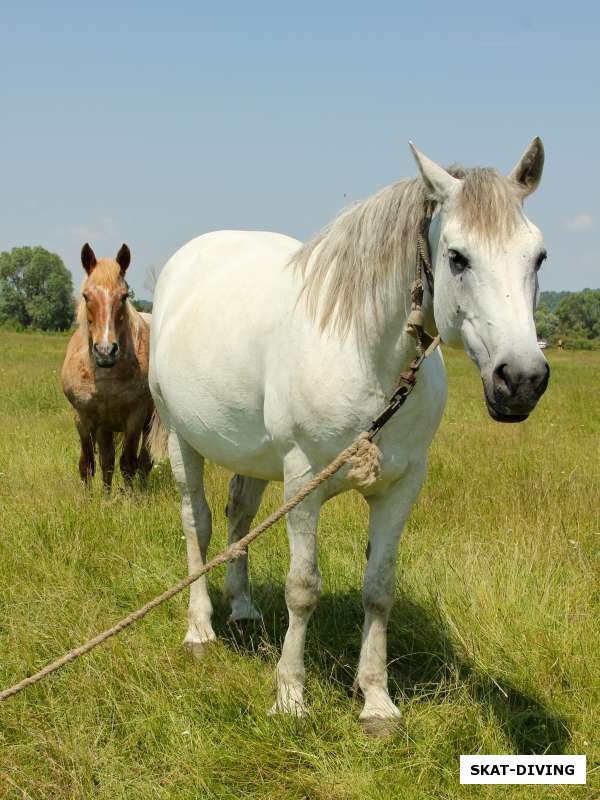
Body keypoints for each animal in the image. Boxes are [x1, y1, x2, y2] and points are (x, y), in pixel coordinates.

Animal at [62, 244, 156, 490]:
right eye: (86, 296)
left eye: (124, 296)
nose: (105, 351)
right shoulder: (84, 419)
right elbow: (89, 465)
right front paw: (92, 498)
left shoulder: (134, 418)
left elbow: (128, 464)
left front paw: (130, 497)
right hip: (105, 428)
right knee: (107, 461)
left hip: (150, 423)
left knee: (145, 462)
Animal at [150, 138, 548, 724]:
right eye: (457, 256)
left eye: (538, 256)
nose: (520, 380)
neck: (365, 355)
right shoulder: (303, 481)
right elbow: (302, 589)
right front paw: (290, 695)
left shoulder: (401, 487)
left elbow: (379, 588)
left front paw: (376, 700)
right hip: (184, 440)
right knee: (196, 523)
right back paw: (200, 628)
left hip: (253, 456)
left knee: (239, 515)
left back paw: (241, 608)